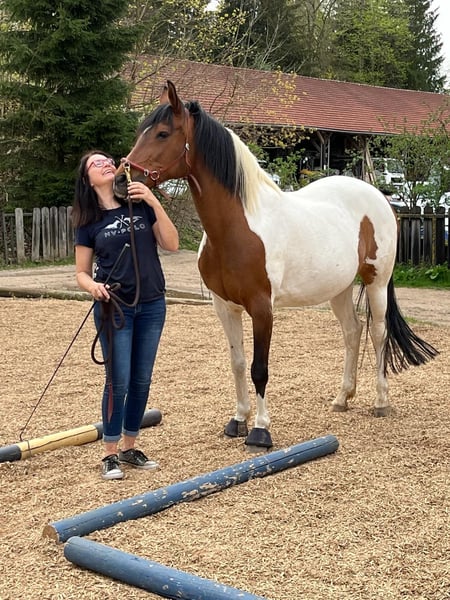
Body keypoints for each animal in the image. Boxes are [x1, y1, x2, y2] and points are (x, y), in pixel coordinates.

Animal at [114, 80, 438, 450]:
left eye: (163, 133)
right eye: (141, 130)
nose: (120, 181)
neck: (238, 226)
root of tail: (380, 198)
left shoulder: (262, 308)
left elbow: (260, 368)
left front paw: (260, 430)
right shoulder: (224, 306)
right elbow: (238, 363)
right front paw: (238, 420)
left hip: (376, 281)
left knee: (379, 332)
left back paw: (381, 402)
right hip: (339, 288)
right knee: (352, 331)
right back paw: (342, 398)